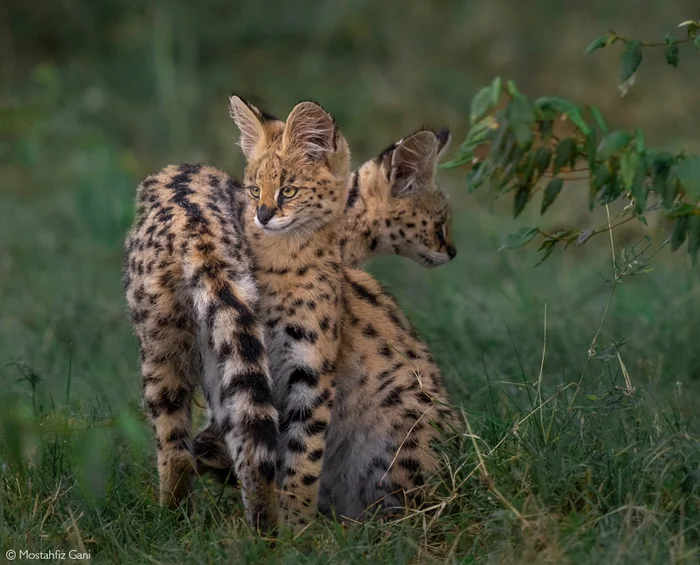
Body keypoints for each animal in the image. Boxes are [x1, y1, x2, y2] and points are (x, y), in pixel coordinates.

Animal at [124, 162, 278, 528]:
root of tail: (198, 235)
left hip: (161, 347)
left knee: (174, 446)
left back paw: (171, 518)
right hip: (227, 336)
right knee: (249, 436)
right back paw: (266, 529)